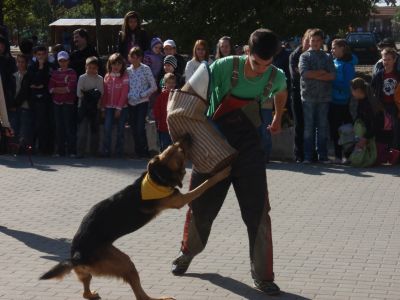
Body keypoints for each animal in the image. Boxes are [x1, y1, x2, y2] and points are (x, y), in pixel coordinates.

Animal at [39, 135, 231, 298]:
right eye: (181, 151)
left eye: (172, 145)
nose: (187, 136)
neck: (157, 177)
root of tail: (75, 256)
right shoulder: (180, 200)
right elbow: (205, 184)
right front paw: (223, 172)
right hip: (124, 263)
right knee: (141, 296)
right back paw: (160, 298)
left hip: (97, 266)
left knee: (85, 291)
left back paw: (91, 294)